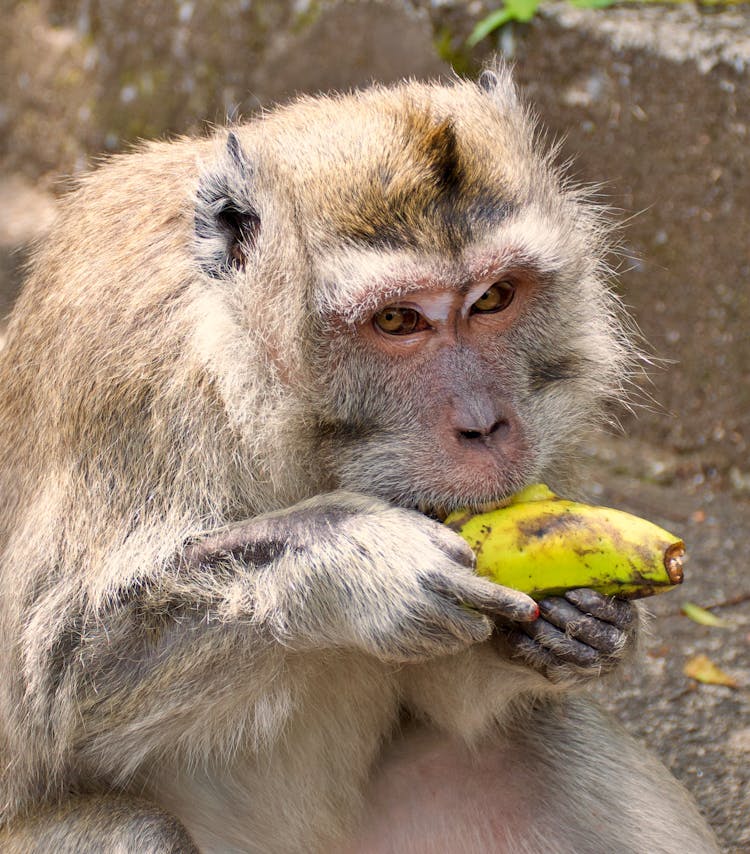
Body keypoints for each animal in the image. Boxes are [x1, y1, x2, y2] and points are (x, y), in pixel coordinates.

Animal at [0, 67, 724, 854]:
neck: (248, 367)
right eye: (397, 320)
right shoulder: (133, 381)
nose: (486, 425)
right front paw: (353, 563)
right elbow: (49, 684)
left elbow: (456, 696)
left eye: (494, 298)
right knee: (131, 828)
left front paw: (587, 627)